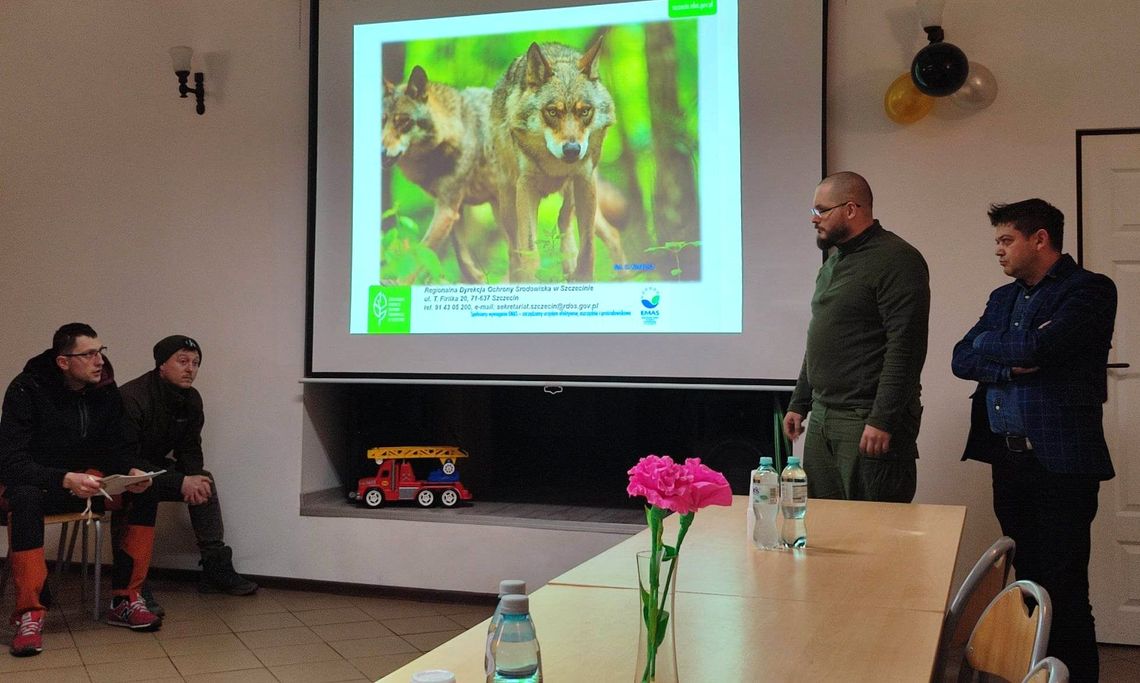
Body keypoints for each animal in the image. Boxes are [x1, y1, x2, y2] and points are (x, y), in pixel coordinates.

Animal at [490, 34, 615, 280]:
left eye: (584, 111)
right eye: (552, 112)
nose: (572, 150)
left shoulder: (585, 179)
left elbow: (588, 249)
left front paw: (582, 276)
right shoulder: (526, 186)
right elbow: (529, 252)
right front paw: (527, 281)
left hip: (576, 190)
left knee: (567, 220)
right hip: (508, 204)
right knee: (513, 249)